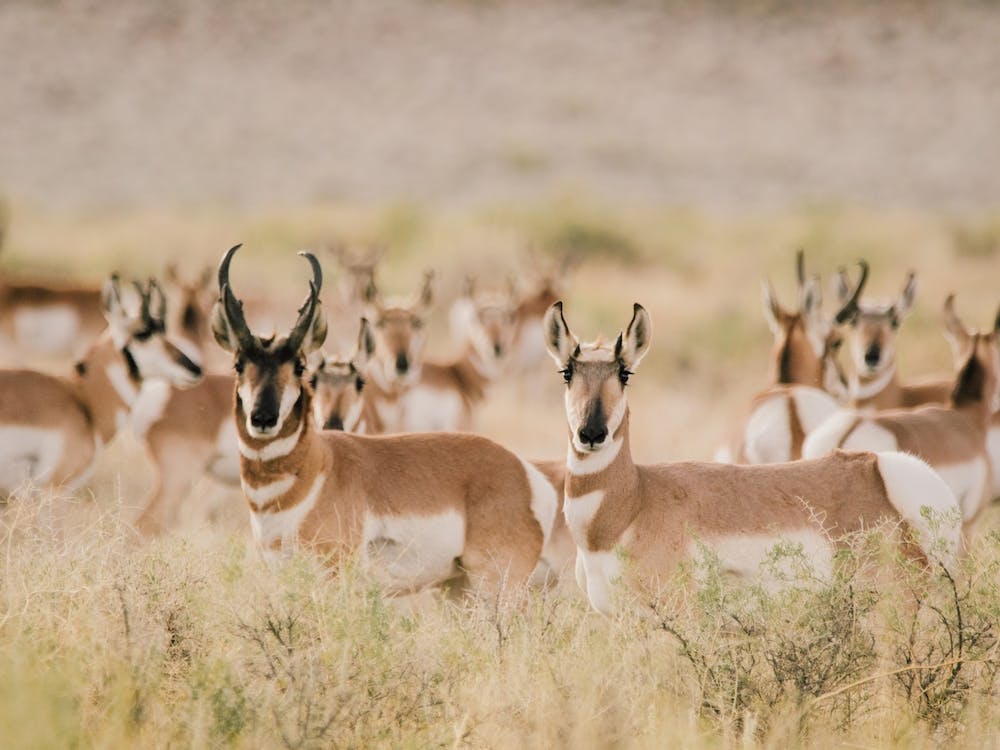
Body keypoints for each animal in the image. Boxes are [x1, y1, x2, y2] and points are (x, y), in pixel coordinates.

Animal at [211, 245, 558, 596]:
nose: (263, 418)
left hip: (495, 586)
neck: (316, 466)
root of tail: (525, 472)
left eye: (299, 366)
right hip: (458, 588)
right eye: (239, 364)